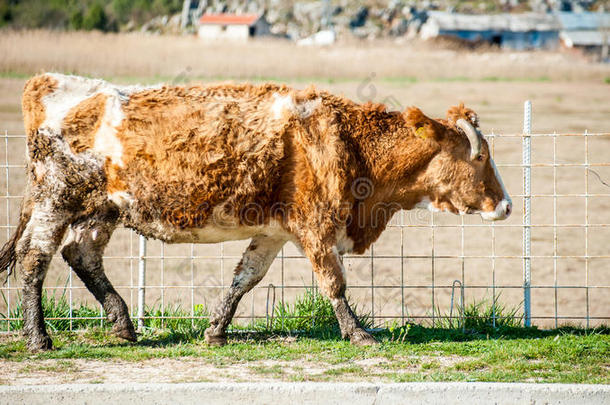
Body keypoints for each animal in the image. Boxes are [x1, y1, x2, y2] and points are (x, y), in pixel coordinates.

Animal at [0, 73, 508, 350]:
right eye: (481, 156)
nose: (504, 204)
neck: (347, 141)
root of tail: (51, 83)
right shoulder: (317, 227)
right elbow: (334, 283)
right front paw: (359, 333)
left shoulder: (276, 231)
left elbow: (245, 278)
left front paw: (216, 330)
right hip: (55, 200)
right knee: (34, 260)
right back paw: (38, 338)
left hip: (102, 209)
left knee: (81, 255)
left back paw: (123, 325)